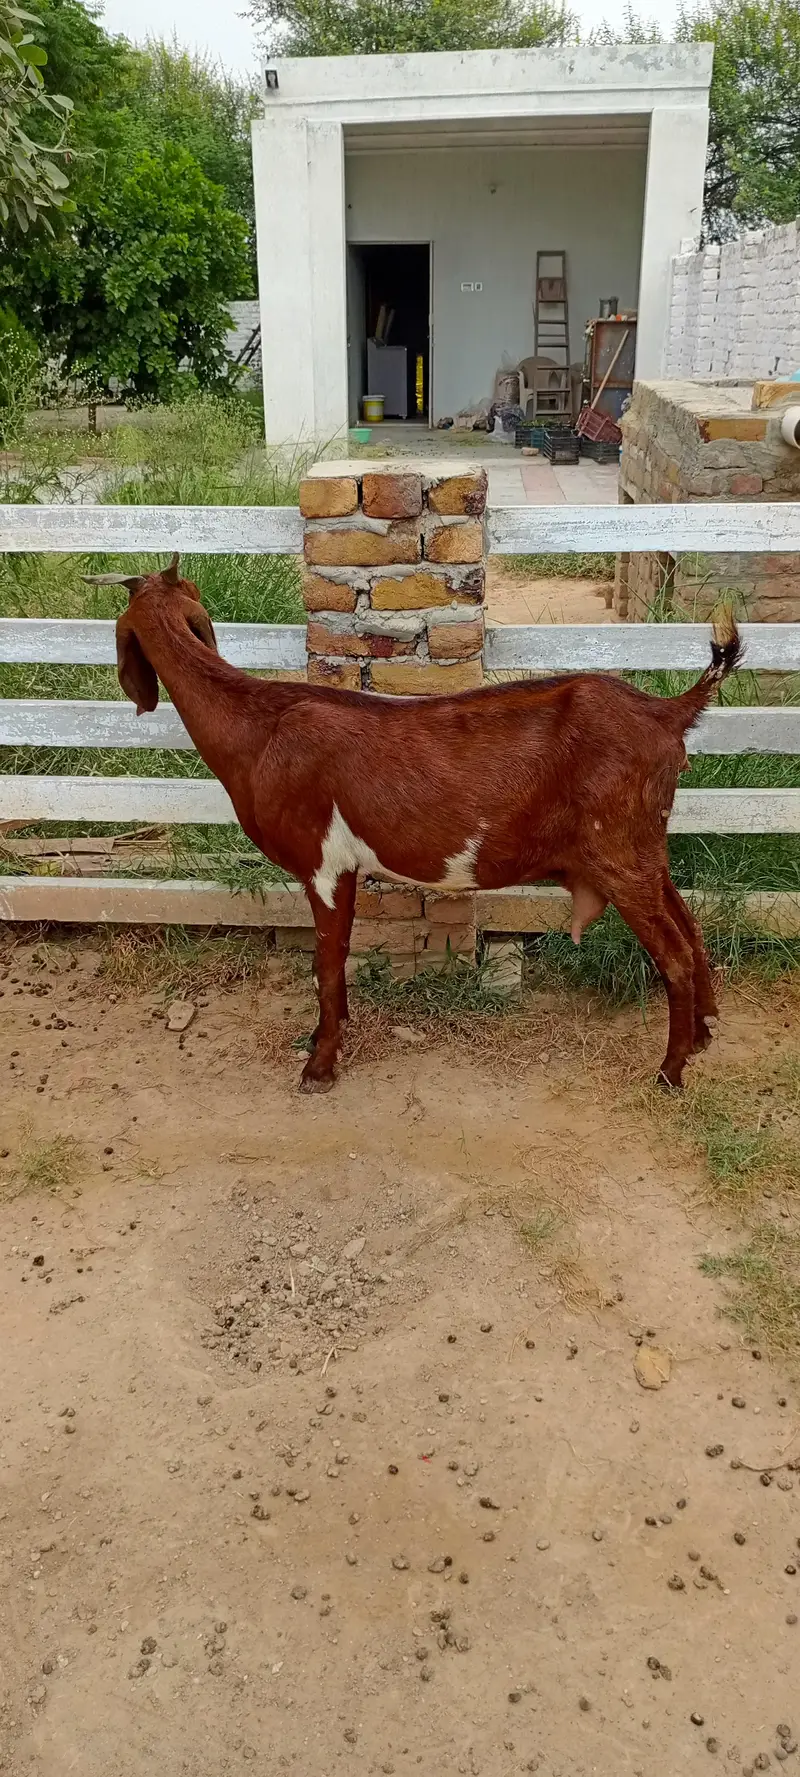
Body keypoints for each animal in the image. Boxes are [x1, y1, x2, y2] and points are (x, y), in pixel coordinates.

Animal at [87, 554, 743, 1094]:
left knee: (674, 954)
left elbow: (328, 964)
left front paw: (319, 1067)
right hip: (642, 847)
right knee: (691, 928)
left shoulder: (324, 863)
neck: (260, 728)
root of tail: (667, 713)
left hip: (619, 852)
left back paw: (670, 1073)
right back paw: (705, 1034)